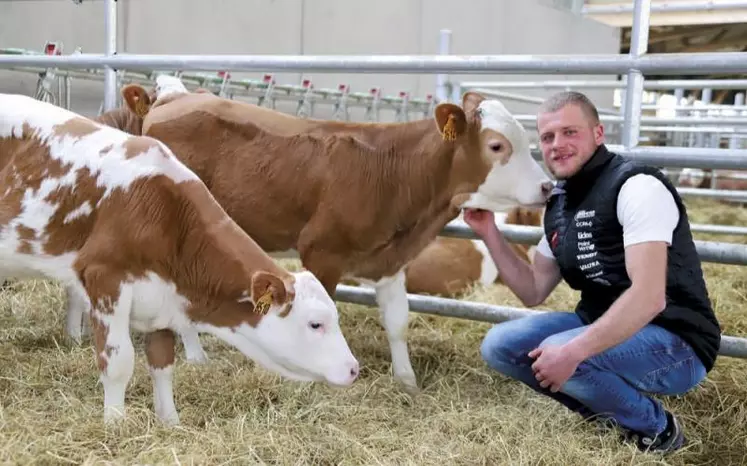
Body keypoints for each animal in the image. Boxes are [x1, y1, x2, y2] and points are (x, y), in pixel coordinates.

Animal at [0, 93, 360, 426]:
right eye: (315, 323)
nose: (354, 369)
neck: (161, 212)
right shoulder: (105, 280)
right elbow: (117, 363)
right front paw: (115, 425)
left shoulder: (161, 297)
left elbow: (162, 363)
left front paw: (170, 421)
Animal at [70, 75, 552, 394]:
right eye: (497, 146)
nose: (548, 187)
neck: (394, 173)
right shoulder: (322, 252)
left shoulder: (391, 259)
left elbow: (397, 323)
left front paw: (407, 381)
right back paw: (197, 355)